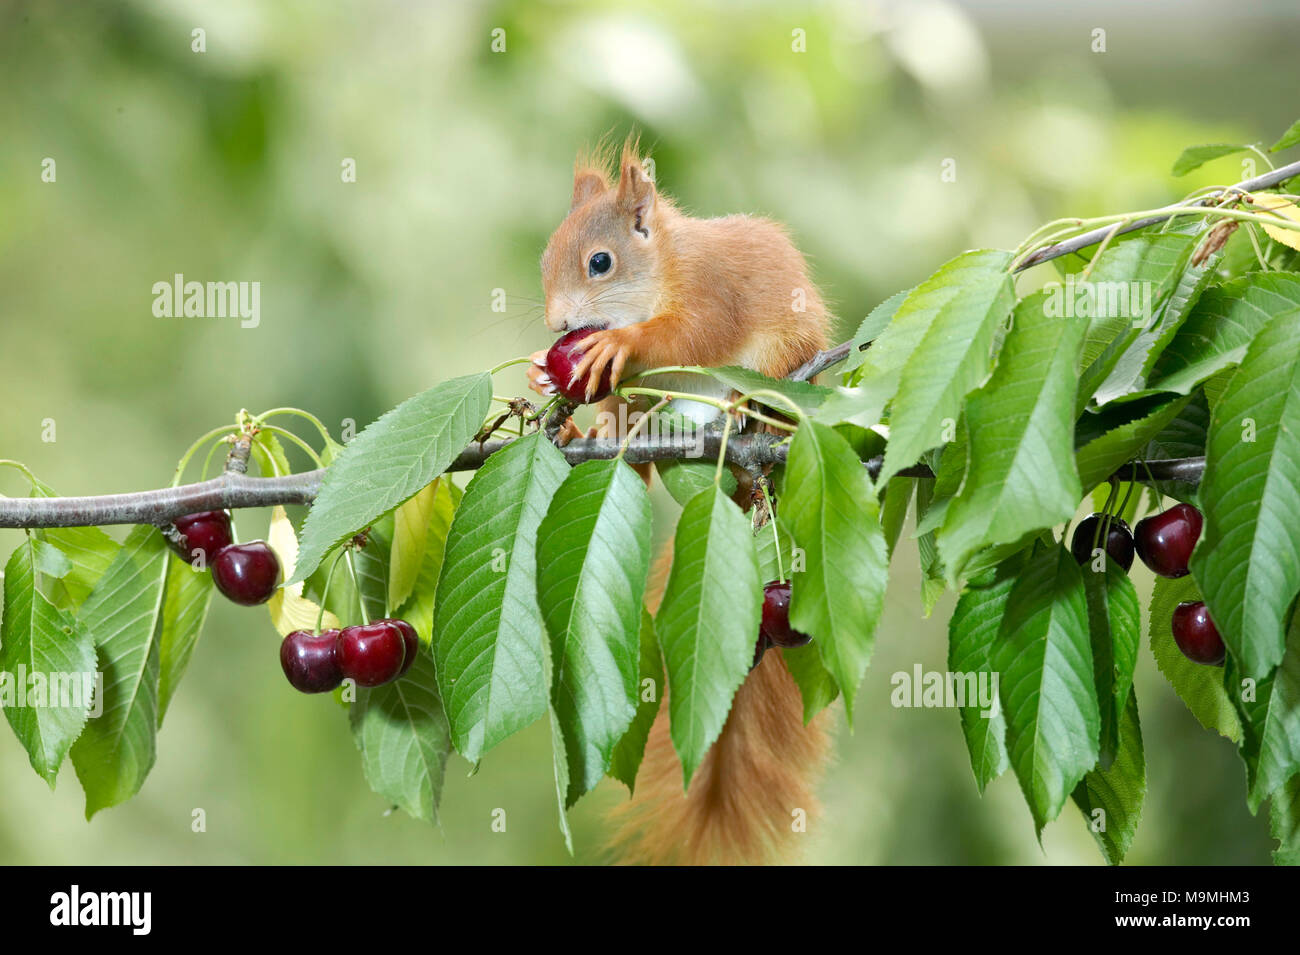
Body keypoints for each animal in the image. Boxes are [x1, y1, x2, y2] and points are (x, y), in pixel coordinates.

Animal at [522, 138, 826, 867]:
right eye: (545, 260)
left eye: (600, 262)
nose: (559, 325)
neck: (663, 267)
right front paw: (547, 376)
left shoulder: (711, 291)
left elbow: (690, 334)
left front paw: (621, 342)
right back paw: (590, 436)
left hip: (784, 360)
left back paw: (746, 408)